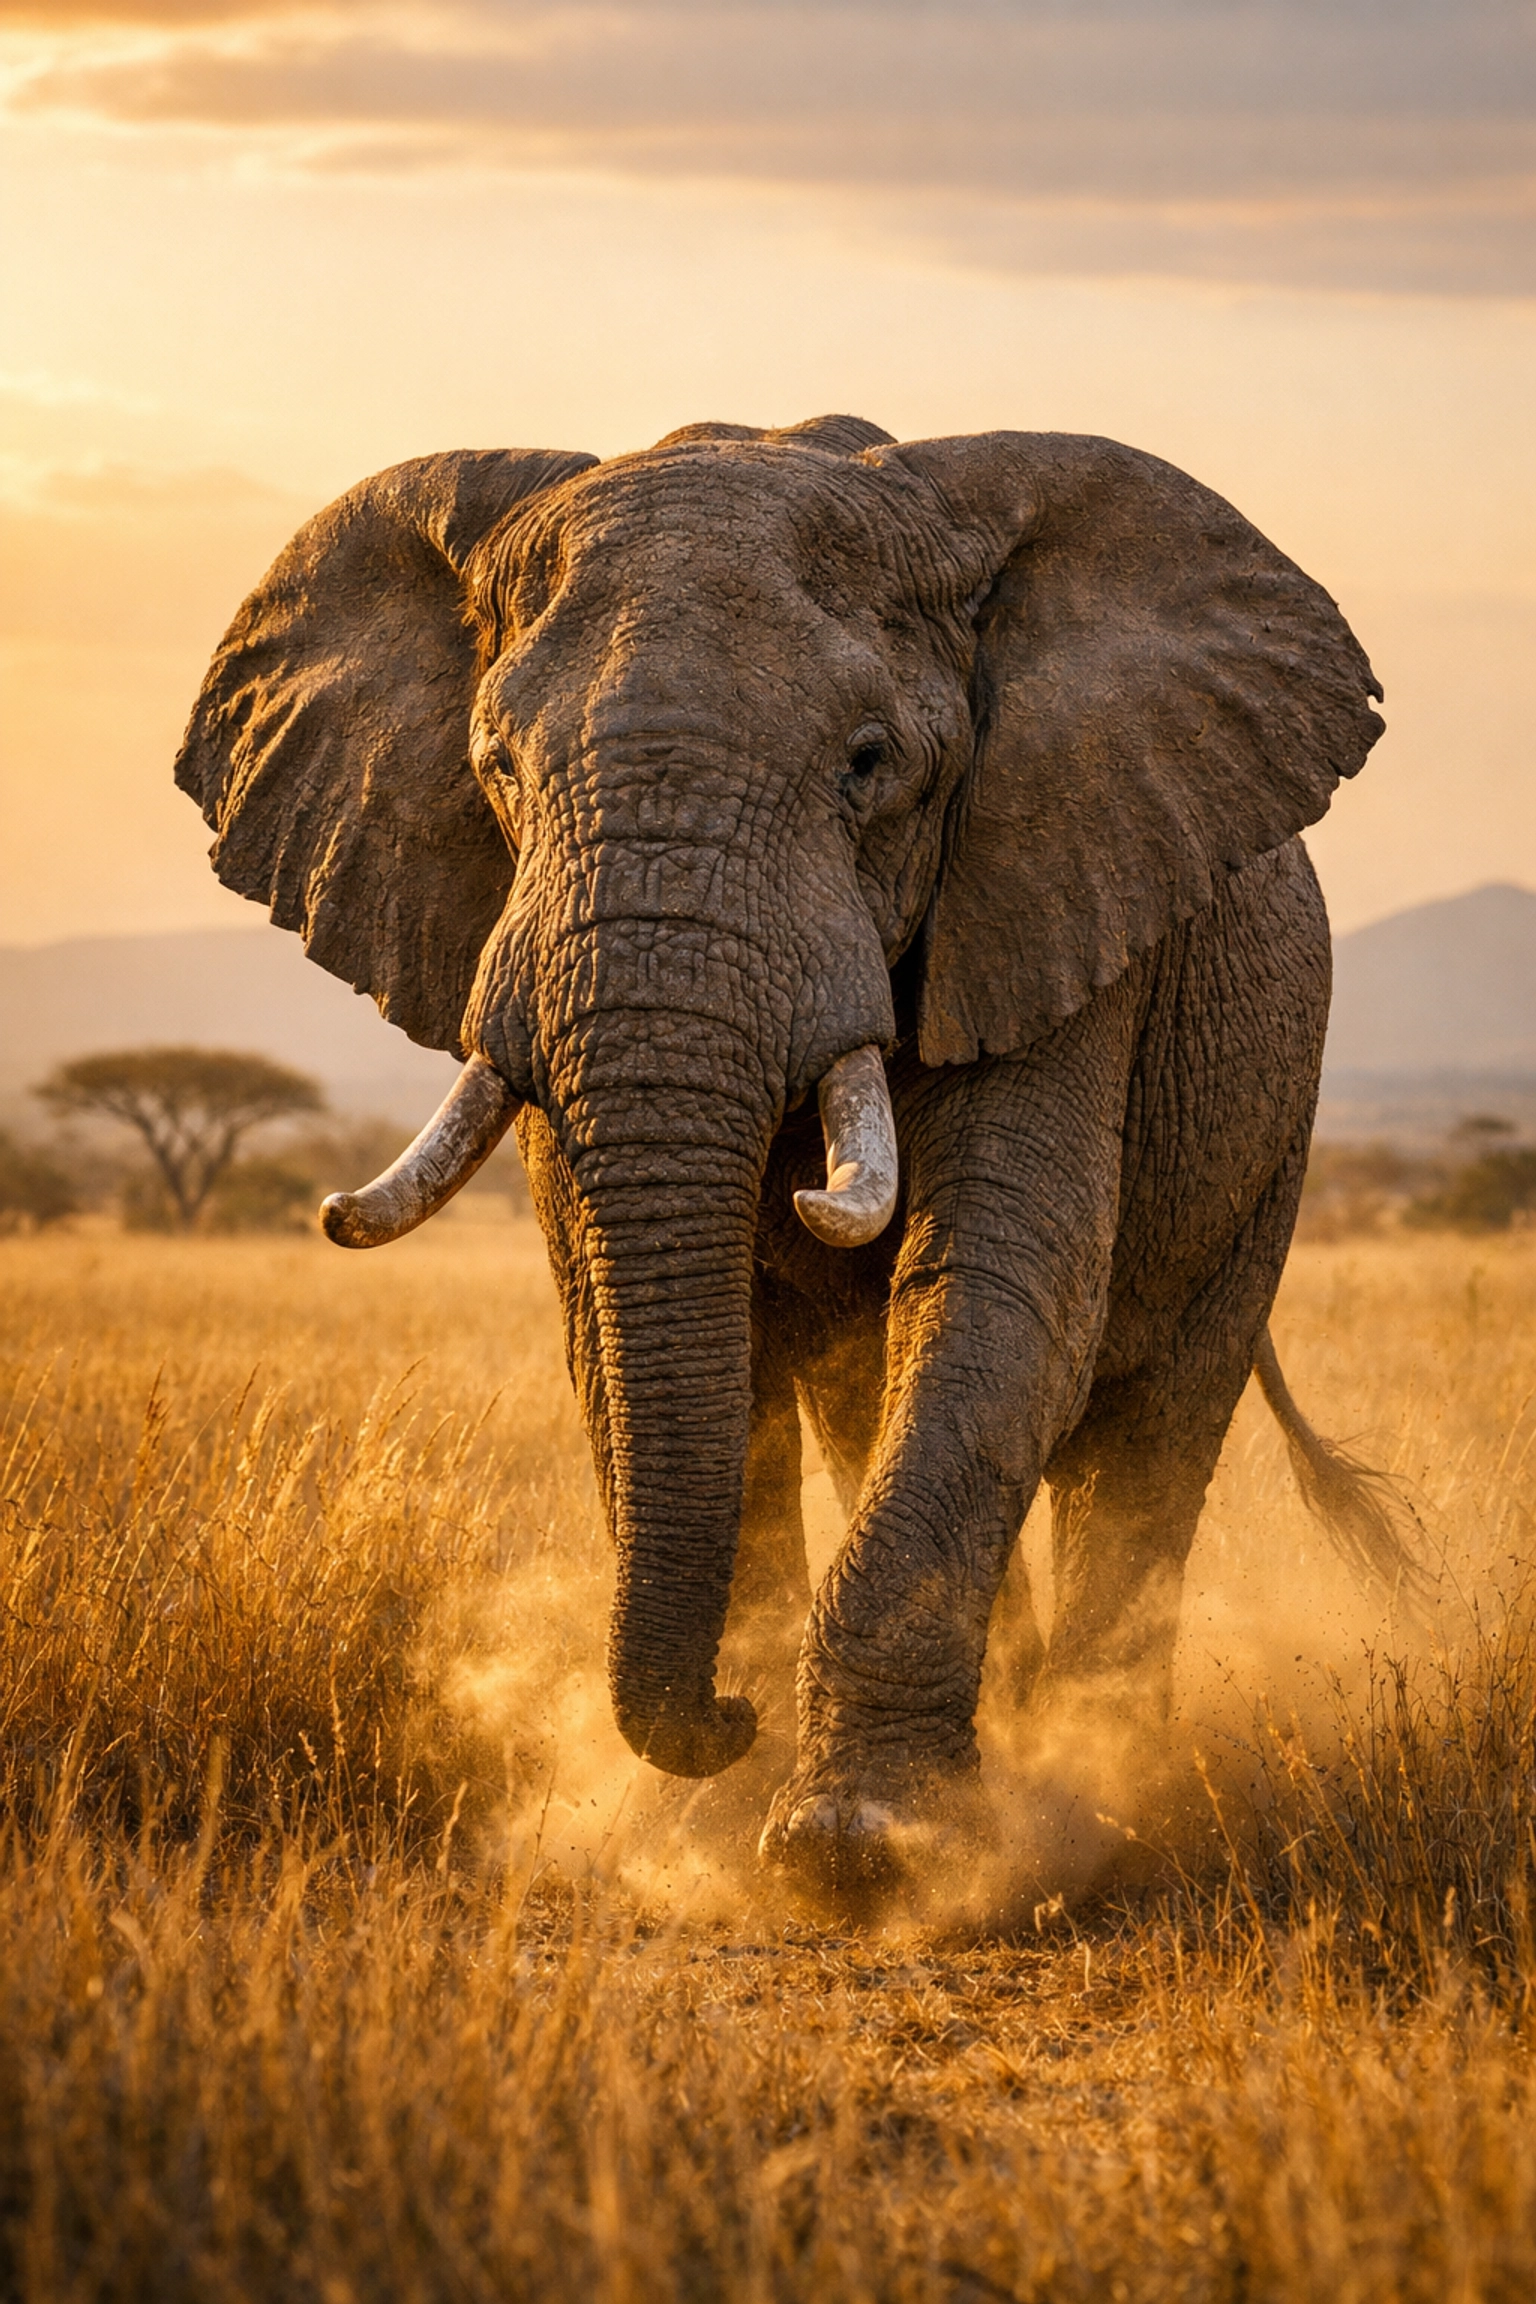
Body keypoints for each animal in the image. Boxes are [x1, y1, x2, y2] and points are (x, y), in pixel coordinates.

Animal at [175, 412, 1416, 1896]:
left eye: (869, 764)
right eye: (497, 772)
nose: (723, 1712)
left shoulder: (1052, 898)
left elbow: (997, 1294)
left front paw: (861, 1844)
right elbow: (620, 1328)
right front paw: (708, 1832)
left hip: (1272, 1126)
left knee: (1151, 1443)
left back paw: (1099, 1801)